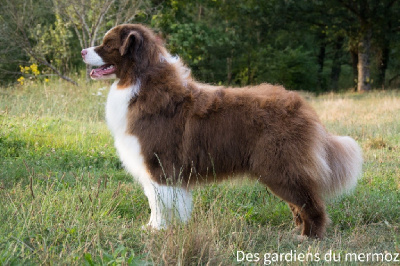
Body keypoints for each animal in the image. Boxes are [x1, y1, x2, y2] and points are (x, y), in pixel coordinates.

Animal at [81, 23, 362, 238]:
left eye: (107, 44)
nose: (83, 51)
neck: (140, 79)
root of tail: (305, 108)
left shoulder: (159, 163)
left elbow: (160, 202)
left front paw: (158, 230)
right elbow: (155, 200)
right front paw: (154, 228)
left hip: (280, 166)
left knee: (311, 203)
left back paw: (308, 238)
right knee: (298, 204)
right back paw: (296, 233)